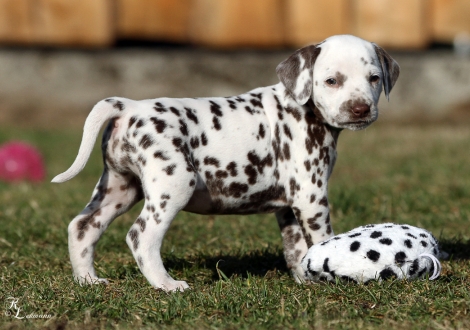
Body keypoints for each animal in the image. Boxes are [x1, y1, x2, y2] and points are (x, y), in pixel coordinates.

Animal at [54, 34, 400, 292]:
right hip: (173, 185)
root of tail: (128, 107)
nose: (360, 108)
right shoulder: (310, 196)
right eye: (331, 81)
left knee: (82, 227)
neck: (303, 107)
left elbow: (297, 249)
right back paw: (167, 285)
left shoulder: (289, 206)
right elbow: (321, 242)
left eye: (374, 78)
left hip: (119, 188)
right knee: (141, 236)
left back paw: (87, 280)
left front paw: (306, 280)